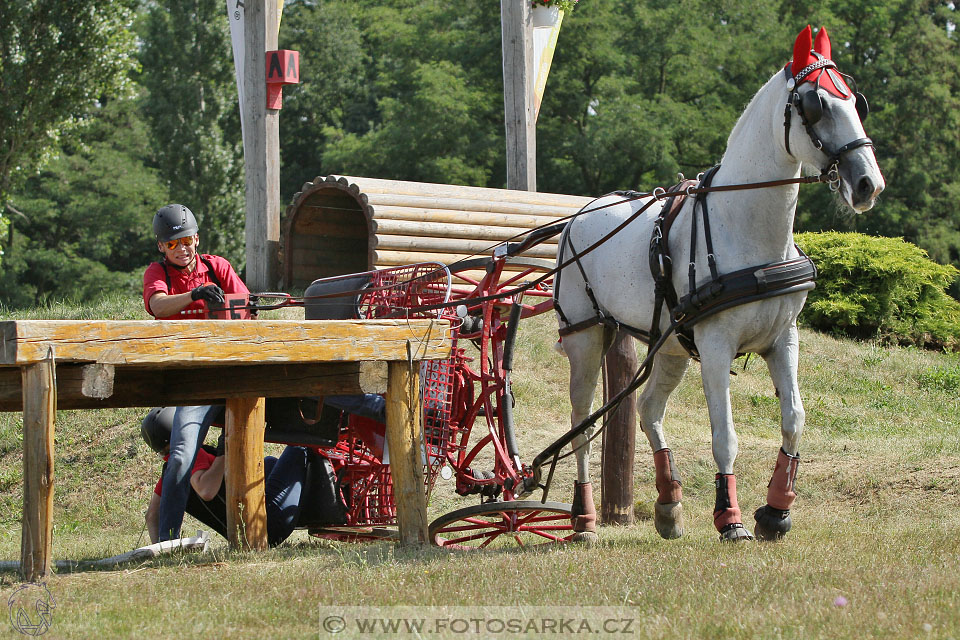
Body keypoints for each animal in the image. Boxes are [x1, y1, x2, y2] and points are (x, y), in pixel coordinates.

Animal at [556, 27, 884, 544]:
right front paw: (730, 517)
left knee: (648, 410)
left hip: (669, 346)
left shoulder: (782, 339)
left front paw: (776, 511)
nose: (868, 183)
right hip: (586, 336)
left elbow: (794, 420)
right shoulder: (715, 346)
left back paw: (669, 504)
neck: (746, 228)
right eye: (815, 106)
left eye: (856, 102)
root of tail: (580, 214)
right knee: (582, 425)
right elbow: (724, 435)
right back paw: (584, 520)